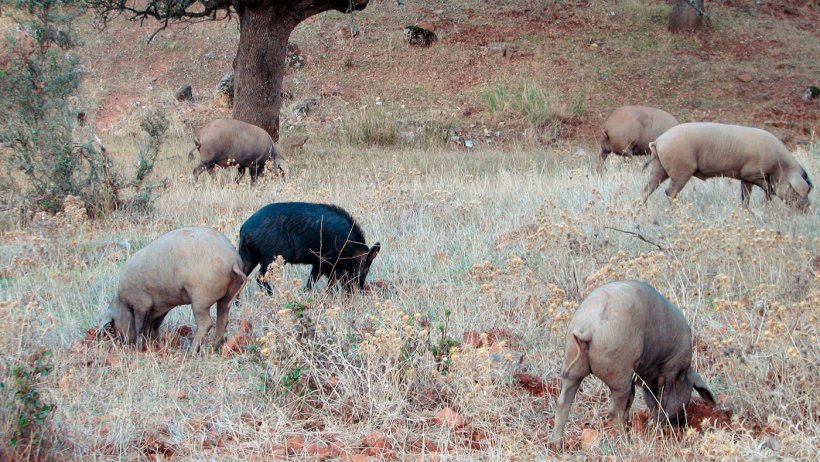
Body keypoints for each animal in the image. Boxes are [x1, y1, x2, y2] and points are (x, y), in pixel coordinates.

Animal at [100, 227, 247, 352]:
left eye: (113, 326)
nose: (123, 345)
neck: (123, 302)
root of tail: (233, 261)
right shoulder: (160, 305)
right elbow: (155, 325)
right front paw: (155, 345)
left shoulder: (141, 303)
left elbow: (140, 326)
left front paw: (139, 348)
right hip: (227, 296)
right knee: (222, 319)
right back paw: (214, 348)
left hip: (200, 298)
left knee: (206, 323)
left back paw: (191, 352)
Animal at [238, 202, 380, 293]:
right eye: (366, 268)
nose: (359, 291)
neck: (351, 249)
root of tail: (244, 229)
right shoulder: (322, 261)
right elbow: (312, 282)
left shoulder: (332, 267)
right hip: (271, 259)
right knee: (260, 277)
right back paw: (271, 295)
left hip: (249, 256)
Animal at [549, 280, 716, 450]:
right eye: (686, 401)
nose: (682, 423)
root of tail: (588, 328)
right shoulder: (670, 368)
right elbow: (661, 397)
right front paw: (656, 426)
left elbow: (636, 399)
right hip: (619, 373)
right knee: (614, 411)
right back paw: (625, 441)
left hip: (572, 367)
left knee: (563, 402)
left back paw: (557, 446)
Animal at [642, 122, 812, 209]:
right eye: (798, 191)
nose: (807, 208)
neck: (780, 166)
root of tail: (658, 141)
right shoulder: (753, 174)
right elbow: (767, 190)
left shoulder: (745, 176)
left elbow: (746, 196)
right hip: (681, 169)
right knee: (669, 191)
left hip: (658, 168)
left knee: (647, 188)